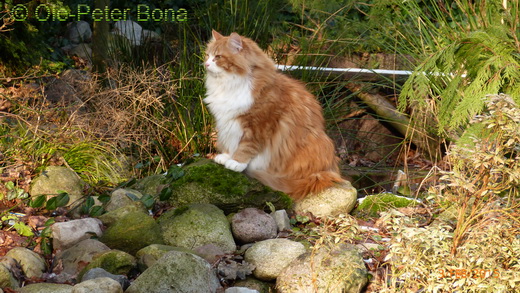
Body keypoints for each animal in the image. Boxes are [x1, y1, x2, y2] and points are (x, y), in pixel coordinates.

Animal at [204, 29, 346, 198]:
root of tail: (327, 172)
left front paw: (237, 162)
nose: (206, 64)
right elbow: (231, 142)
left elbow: (246, 147)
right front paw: (227, 156)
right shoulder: (229, 122)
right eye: (207, 55)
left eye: (218, 57)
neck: (229, 84)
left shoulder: (259, 124)